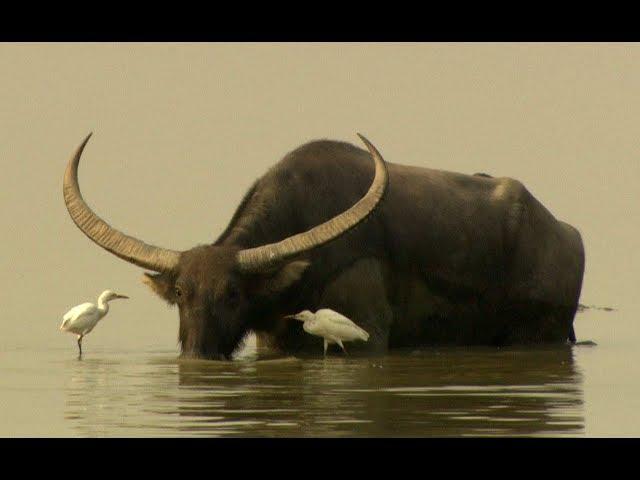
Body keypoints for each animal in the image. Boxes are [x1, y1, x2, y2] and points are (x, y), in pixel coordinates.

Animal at [63, 133, 584, 358]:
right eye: (180, 293)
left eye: (232, 293)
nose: (196, 355)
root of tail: (567, 235)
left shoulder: (370, 335)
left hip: (538, 333)